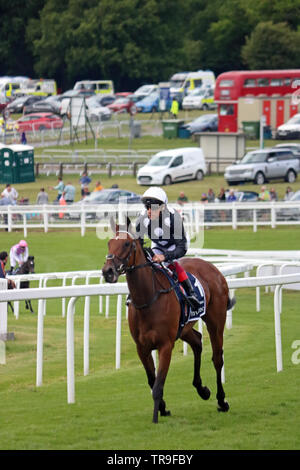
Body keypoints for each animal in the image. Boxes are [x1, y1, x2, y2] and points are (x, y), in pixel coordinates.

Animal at [102, 220, 233, 422]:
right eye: (109, 243)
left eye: (126, 244)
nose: (107, 271)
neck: (148, 299)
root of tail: (213, 269)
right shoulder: (142, 347)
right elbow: (152, 380)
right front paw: (163, 408)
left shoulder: (165, 345)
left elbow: (158, 384)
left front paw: (157, 416)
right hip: (184, 328)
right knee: (197, 342)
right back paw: (202, 389)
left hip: (215, 321)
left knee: (217, 358)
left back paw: (222, 401)